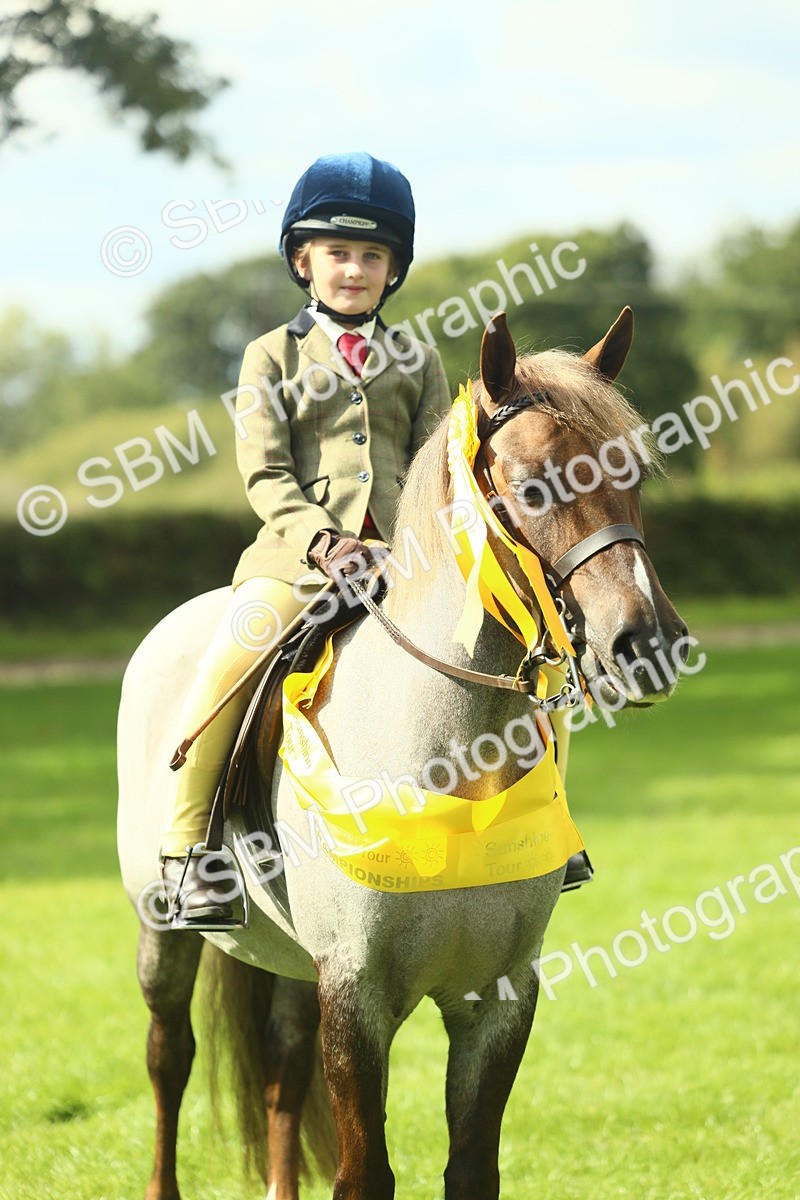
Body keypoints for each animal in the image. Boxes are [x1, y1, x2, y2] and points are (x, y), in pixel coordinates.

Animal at [117, 307, 687, 1200]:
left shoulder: (499, 998)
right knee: (169, 1057)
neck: (449, 763)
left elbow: (471, 1167)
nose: (649, 646)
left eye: (633, 474)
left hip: (296, 965)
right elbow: (365, 1173)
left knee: (282, 1066)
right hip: (162, 930)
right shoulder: (356, 995)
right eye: (532, 487)